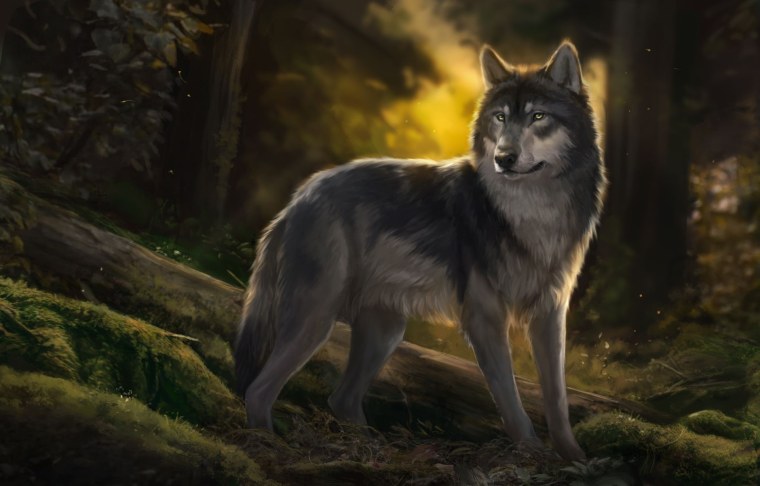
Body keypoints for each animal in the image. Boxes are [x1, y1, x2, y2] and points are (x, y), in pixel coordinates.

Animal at [235, 41, 606, 461]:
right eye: (500, 118)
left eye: (537, 116)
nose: (504, 158)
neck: (532, 215)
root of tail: (294, 203)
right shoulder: (484, 318)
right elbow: (510, 399)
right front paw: (531, 452)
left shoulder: (550, 315)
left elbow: (557, 398)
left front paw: (574, 457)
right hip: (315, 320)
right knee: (259, 390)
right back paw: (268, 445)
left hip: (384, 332)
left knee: (341, 399)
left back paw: (372, 450)